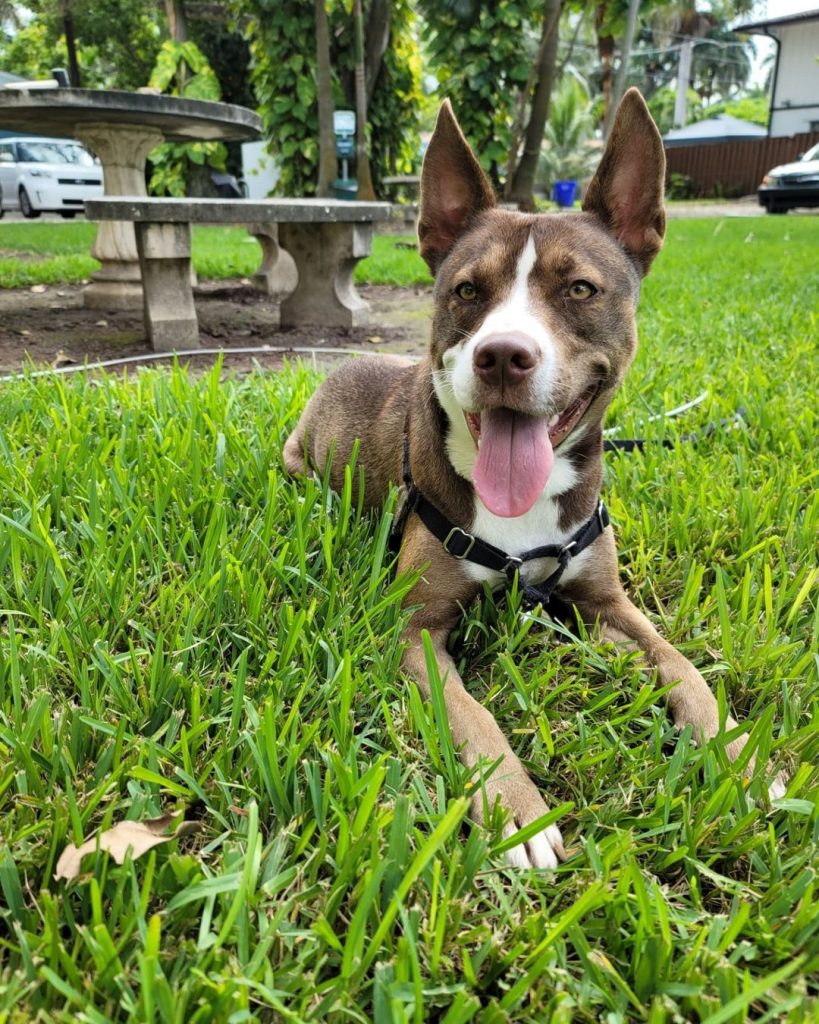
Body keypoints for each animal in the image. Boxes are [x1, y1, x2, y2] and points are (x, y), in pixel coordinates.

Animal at [286, 92, 782, 868]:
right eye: (466, 290)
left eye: (579, 288)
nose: (502, 356)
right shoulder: (412, 629)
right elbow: (471, 715)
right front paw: (515, 811)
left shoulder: (610, 603)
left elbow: (682, 666)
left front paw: (740, 753)